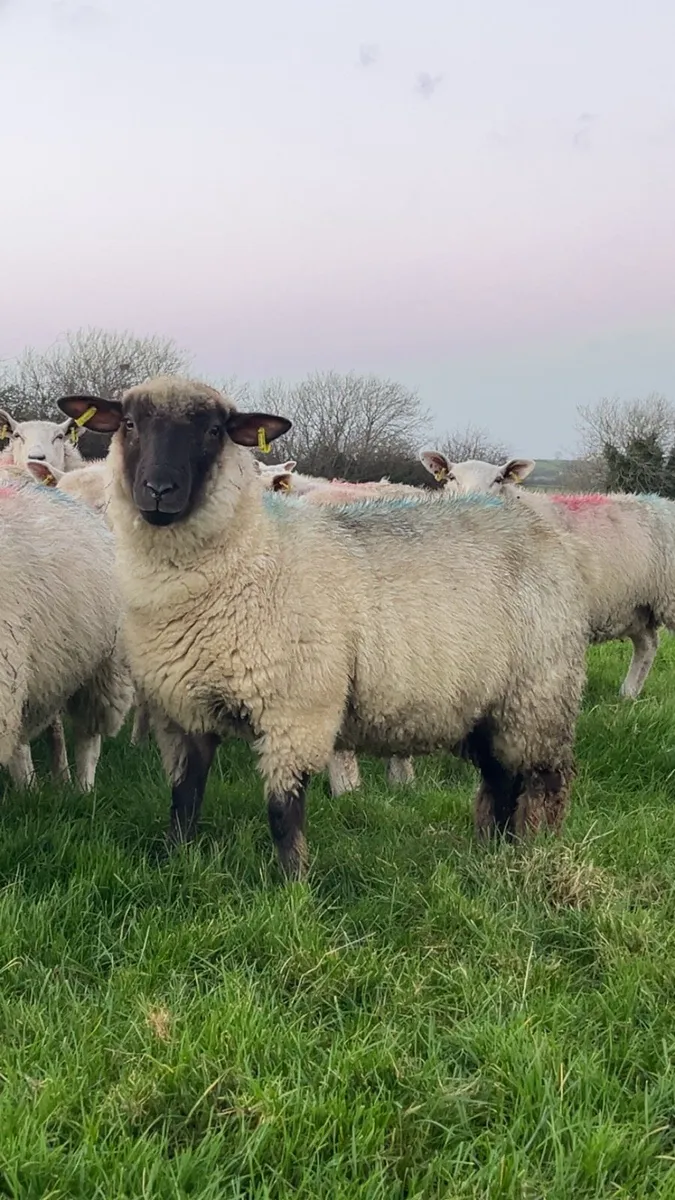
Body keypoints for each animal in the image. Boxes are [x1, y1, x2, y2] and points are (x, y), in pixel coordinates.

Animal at [56, 378, 588, 879]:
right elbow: (184, 800)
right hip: (489, 703)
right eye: (129, 424)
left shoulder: (296, 712)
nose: (159, 491)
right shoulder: (181, 712)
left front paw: (292, 886)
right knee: (500, 780)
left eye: (214, 431)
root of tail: (535, 526)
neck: (251, 556)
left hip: (538, 697)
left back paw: (532, 852)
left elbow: (282, 813)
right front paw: (174, 864)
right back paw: (494, 851)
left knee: (543, 784)